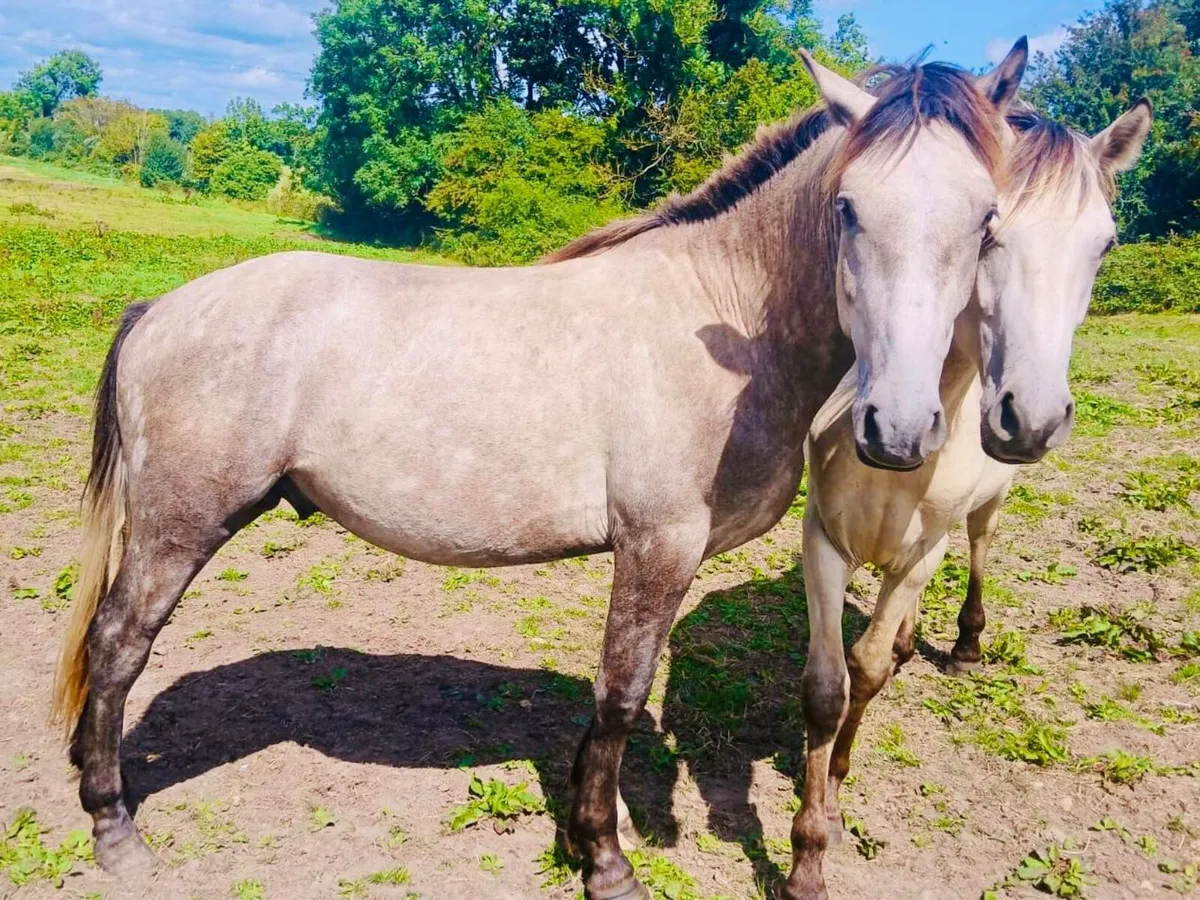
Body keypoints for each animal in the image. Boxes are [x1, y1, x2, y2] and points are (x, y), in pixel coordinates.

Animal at [50, 46, 1030, 900]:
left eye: (987, 220)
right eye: (848, 208)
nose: (897, 429)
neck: (718, 314)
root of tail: (161, 309)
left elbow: (609, 699)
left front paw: (580, 833)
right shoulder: (658, 546)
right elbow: (622, 696)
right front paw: (606, 862)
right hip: (180, 529)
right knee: (117, 644)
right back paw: (114, 828)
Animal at [792, 100, 1152, 898]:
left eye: (1106, 245)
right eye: (992, 233)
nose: (1034, 419)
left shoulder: (921, 549)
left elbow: (867, 673)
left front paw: (836, 787)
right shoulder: (823, 540)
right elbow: (831, 685)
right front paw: (810, 843)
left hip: (985, 509)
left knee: (978, 549)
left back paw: (964, 644)